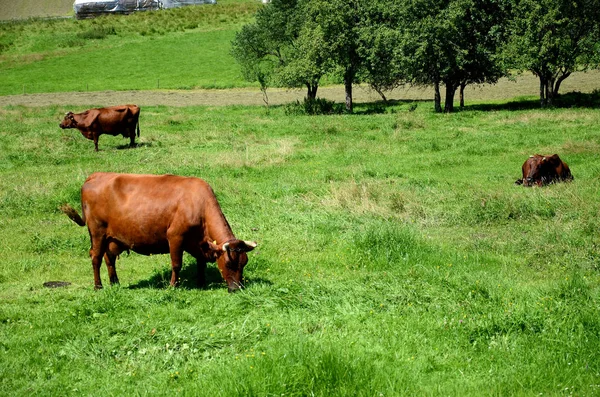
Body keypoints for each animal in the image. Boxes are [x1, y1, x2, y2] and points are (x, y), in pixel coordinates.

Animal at [59, 172, 256, 290]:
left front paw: (201, 282)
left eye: (244, 263)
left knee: (109, 258)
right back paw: (98, 286)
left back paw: (115, 282)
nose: (238, 288)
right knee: (96, 257)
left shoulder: (199, 243)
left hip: (112, 238)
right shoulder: (175, 236)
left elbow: (200, 262)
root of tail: (94, 176)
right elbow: (176, 264)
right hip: (97, 233)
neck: (198, 203)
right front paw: (173, 286)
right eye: (229, 264)